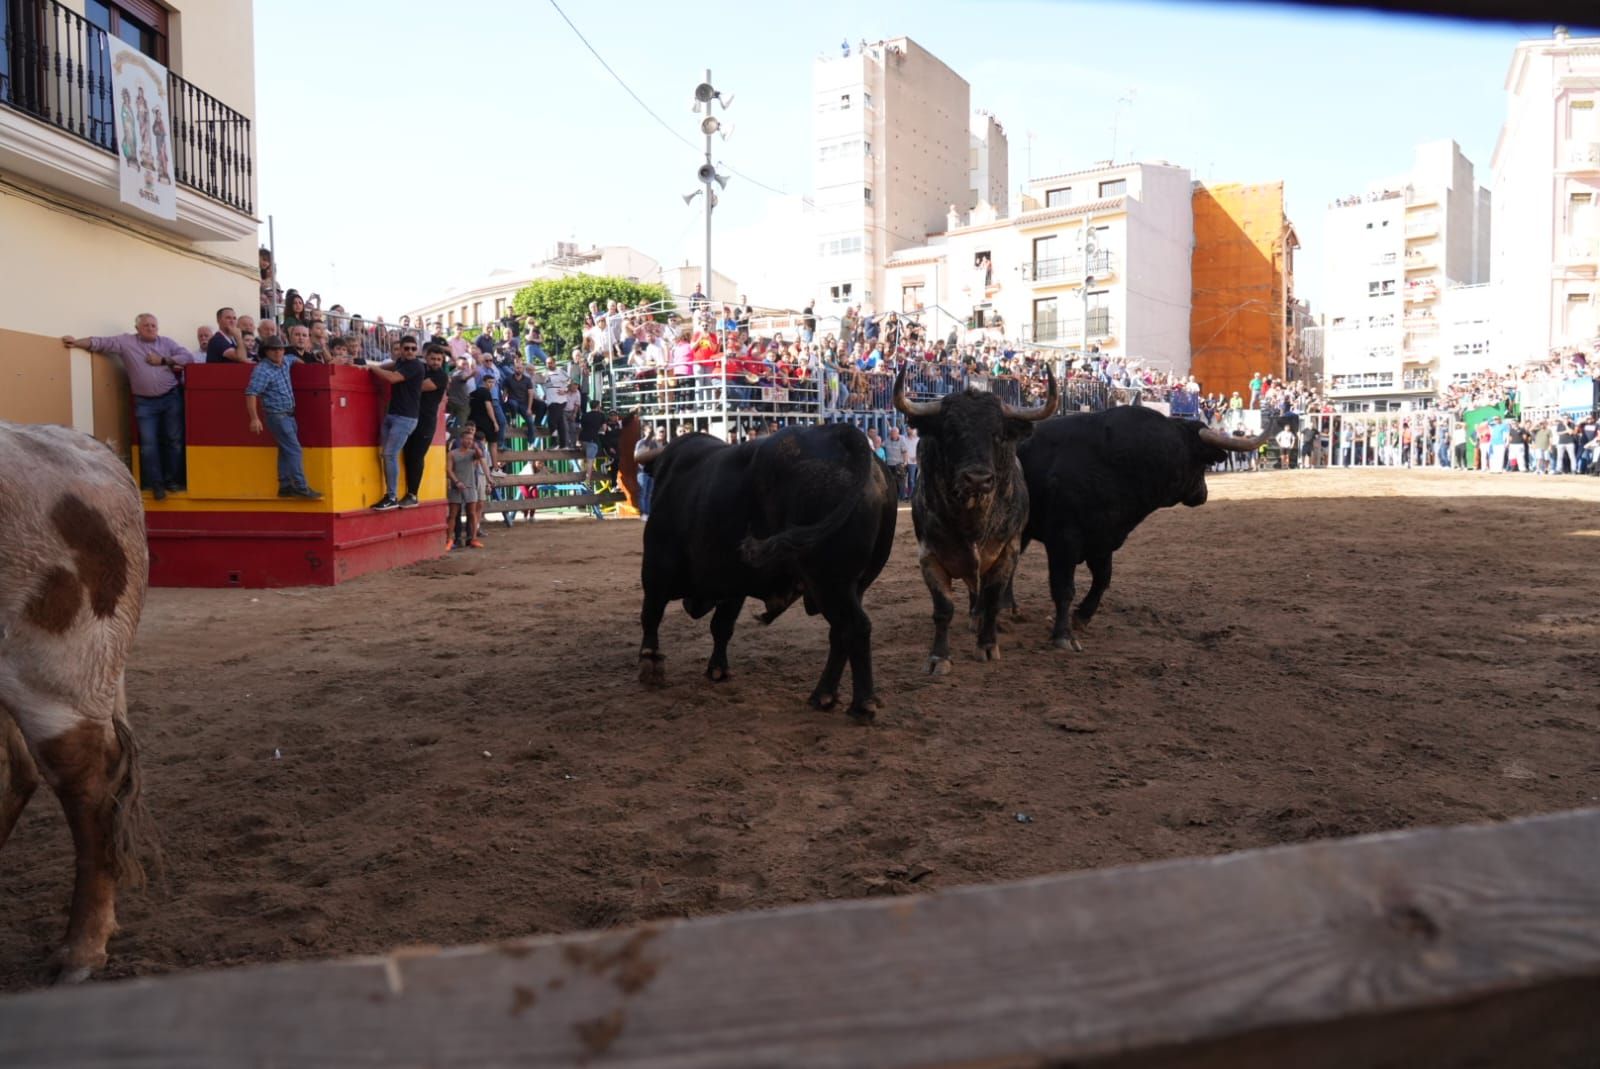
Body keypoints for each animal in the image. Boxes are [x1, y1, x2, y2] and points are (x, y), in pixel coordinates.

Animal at [633, 422, 896, 716]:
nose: (692, 606)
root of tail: (841, 434)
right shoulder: (733, 584)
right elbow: (722, 625)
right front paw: (718, 668)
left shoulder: (656, 568)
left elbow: (651, 615)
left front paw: (650, 662)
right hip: (853, 584)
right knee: (840, 633)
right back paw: (823, 695)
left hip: (829, 581)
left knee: (855, 627)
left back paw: (861, 704)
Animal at [896, 371, 1056, 672]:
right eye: (950, 432)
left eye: (997, 434)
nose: (977, 479)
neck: (971, 522)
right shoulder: (929, 556)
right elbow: (943, 609)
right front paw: (938, 657)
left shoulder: (1006, 552)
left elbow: (992, 600)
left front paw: (988, 645)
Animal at [1011, 404, 1273, 646]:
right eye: (1202, 464)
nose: (1203, 494)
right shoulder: (1063, 539)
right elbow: (1064, 588)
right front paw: (1063, 635)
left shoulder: (1104, 539)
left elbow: (1103, 579)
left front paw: (1083, 616)